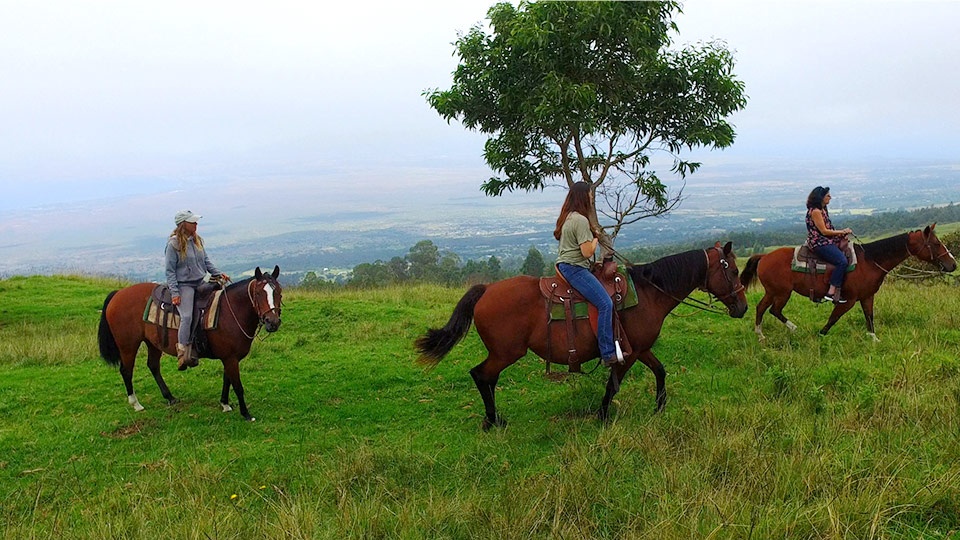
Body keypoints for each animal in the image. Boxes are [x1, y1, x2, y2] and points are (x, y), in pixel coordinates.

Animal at [99, 266, 284, 422]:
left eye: (279, 293)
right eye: (258, 293)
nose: (272, 322)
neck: (230, 312)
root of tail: (118, 294)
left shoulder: (229, 358)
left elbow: (227, 380)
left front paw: (224, 404)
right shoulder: (231, 359)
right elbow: (237, 386)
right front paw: (246, 414)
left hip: (153, 343)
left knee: (153, 366)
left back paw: (169, 397)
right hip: (128, 345)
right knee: (126, 371)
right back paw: (136, 403)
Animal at [416, 243, 748, 428]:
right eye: (732, 271)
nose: (743, 307)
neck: (649, 293)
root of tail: (486, 289)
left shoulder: (641, 348)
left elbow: (661, 371)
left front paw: (660, 407)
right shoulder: (627, 353)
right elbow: (612, 386)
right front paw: (602, 417)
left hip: (503, 353)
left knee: (488, 378)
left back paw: (493, 418)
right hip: (506, 352)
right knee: (481, 375)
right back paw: (492, 421)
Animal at [744, 225, 952, 342]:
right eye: (935, 244)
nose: (953, 264)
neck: (870, 261)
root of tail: (764, 257)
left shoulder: (867, 296)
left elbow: (870, 317)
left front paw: (874, 339)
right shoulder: (849, 300)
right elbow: (833, 318)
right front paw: (821, 336)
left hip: (773, 292)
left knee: (762, 308)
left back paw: (760, 334)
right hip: (781, 292)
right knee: (772, 309)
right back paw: (788, 329)